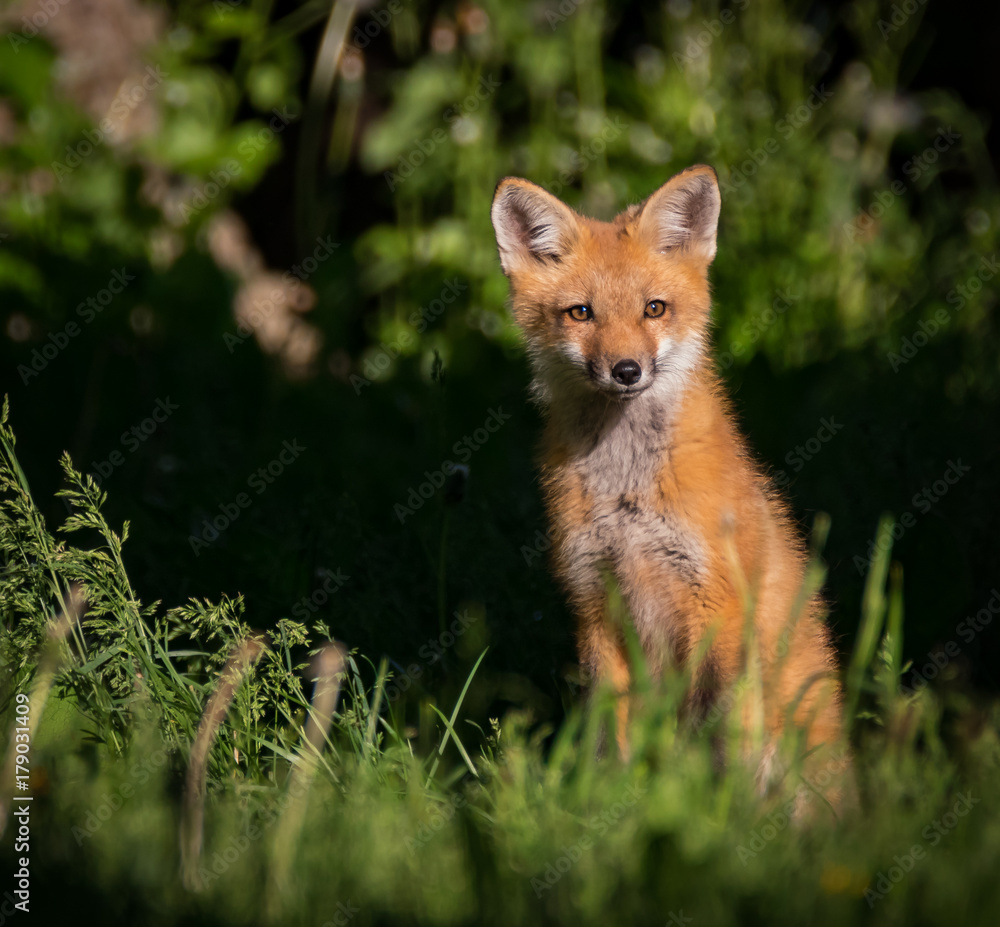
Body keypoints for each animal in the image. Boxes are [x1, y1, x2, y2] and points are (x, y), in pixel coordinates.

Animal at [490, 165, 847, 806]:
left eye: (654, 308)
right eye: (580, 314)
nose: (626, 370)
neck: (627, 492)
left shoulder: (716, 604)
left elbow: (720, 732)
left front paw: (719, 812)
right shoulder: (595, 603)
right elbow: (610, 734)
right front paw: (612, 801)